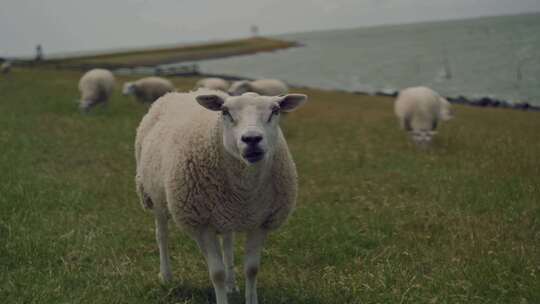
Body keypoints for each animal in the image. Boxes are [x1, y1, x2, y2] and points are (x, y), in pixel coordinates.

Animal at [135, 88, 308, 304]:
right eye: (225, 112)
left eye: (275, 111)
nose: (252, 139)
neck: (245, 192)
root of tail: (185, 92)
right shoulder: (203, 224)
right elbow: (216, 273)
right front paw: (221, 291)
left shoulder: (261, 223)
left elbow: (252, 269)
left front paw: (248, 297)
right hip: (155, 196)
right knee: (162, 236)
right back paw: (166, 277)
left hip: (225, 214)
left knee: (227, 245)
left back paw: (231, 284)